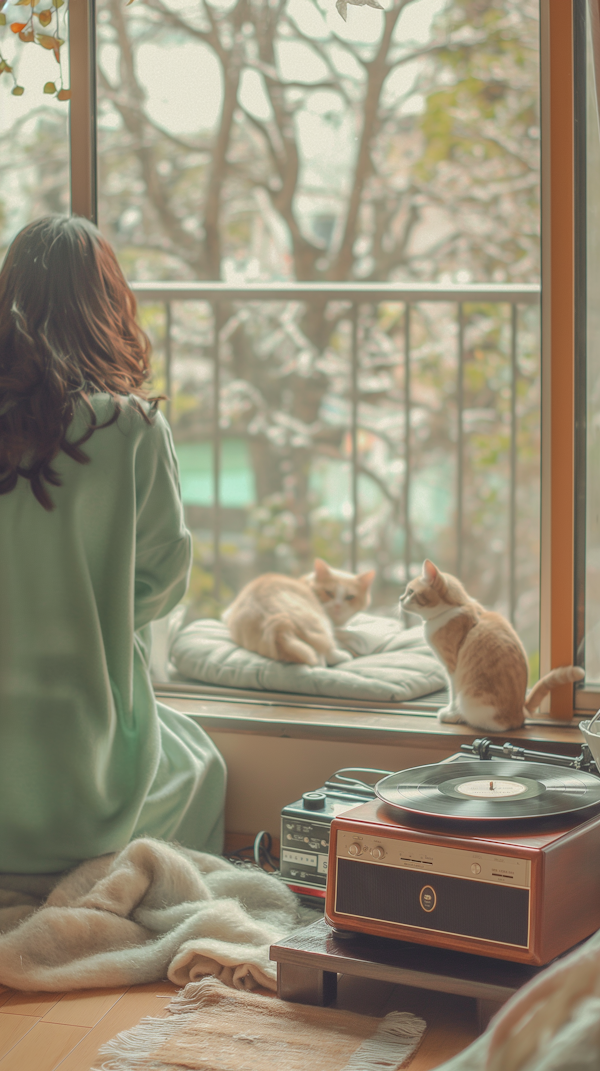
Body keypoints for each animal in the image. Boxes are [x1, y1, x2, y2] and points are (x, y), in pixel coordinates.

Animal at [225, 556, 375, 664]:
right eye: (329, 593)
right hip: (322, 626)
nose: (338, 605)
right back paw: (345, 655)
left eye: (350, 597)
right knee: (326, 656)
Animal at [400, 561, 582, 728]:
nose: (400, 599)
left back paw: (456, 717)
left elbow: (452, 693)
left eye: (410, 592)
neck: (453, 608)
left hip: (471, 698)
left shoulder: (451, 668)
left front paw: (451, 712)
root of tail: (519, 714)